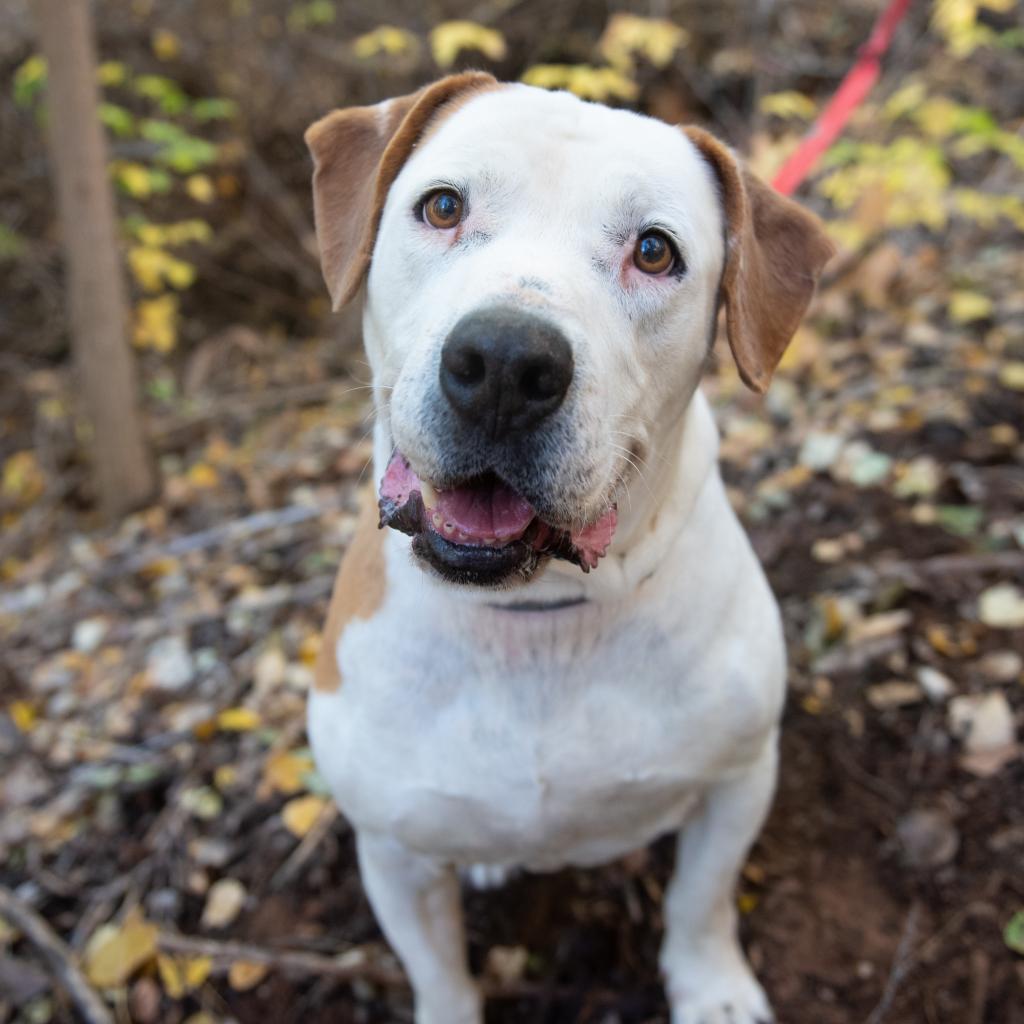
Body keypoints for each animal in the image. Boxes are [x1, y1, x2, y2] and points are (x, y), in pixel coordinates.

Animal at [301, 74, 831, 1024]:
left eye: (655, 252)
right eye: (442, 206)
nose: (506, 362)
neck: (537, 615)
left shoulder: (739, 778)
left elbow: (701, 899)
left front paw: (712, 989)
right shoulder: (392, 850)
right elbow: (438, 970)